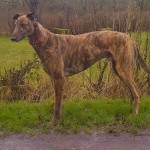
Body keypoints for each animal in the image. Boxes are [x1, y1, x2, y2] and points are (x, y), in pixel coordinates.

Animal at [11, 12, 149, 125]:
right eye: (15, 24)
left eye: (23, 24)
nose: (12, 38)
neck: (45, 40)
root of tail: (131, 39)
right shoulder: (54, 78)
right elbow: (60, 102)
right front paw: (60, 119)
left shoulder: (59, 78)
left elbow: (56, 104)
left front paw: (53, 123)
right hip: (119, 70)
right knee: (132, 92)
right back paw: (130, 109)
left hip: (123, 69)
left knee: (137, 92)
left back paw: (135, 113)